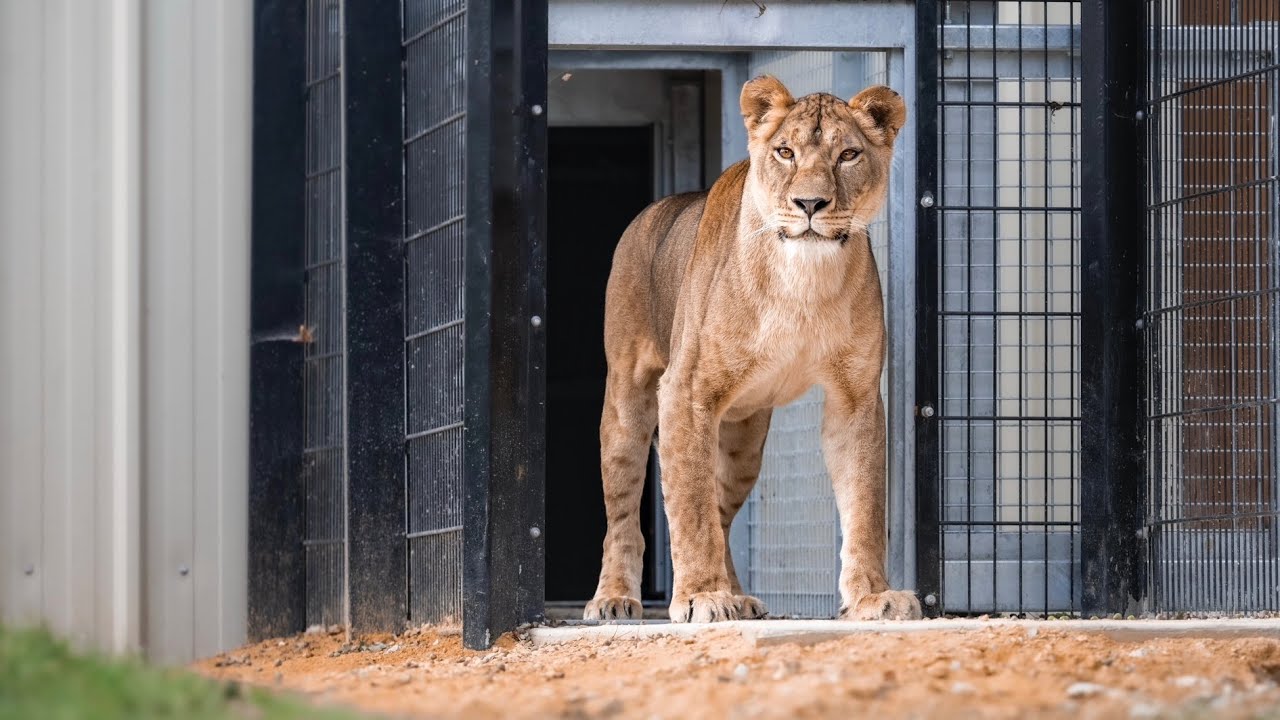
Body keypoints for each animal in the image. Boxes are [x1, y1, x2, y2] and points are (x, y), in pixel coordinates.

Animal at [583, 76, 921, 624]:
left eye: (848, 155)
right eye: (785, 152)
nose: (810, 204)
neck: (803, 278)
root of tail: (659, 207)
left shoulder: (856, 398)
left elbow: (866, 502)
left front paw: (873, 595)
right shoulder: (685, 391)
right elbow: (690, 507)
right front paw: (700, 596)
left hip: (743, 439)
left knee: (721, 514)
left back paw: (737, 596)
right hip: (628, 403)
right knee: (624, 514)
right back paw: (615, 597)